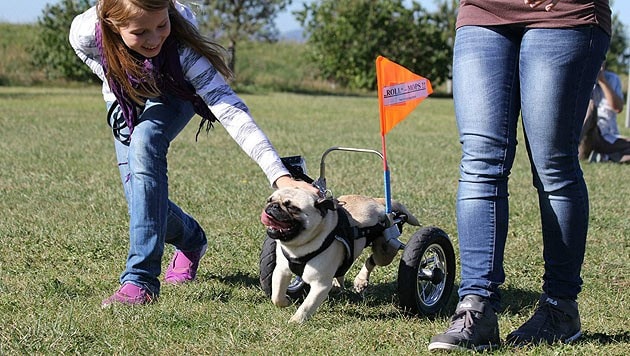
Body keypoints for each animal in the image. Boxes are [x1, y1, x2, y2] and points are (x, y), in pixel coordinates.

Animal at [262, 188, 420, 324]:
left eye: (293, 208)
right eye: (269, 200)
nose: (273, 206)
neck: (298, 248)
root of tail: (378, 201)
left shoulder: (320, 286)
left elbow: (307, 305)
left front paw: (296, 321)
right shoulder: (281, 271)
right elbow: (276, 295)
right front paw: (286, 301)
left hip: (385, 251)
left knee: (373, 260)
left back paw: (360, 279)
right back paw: (346, 282)